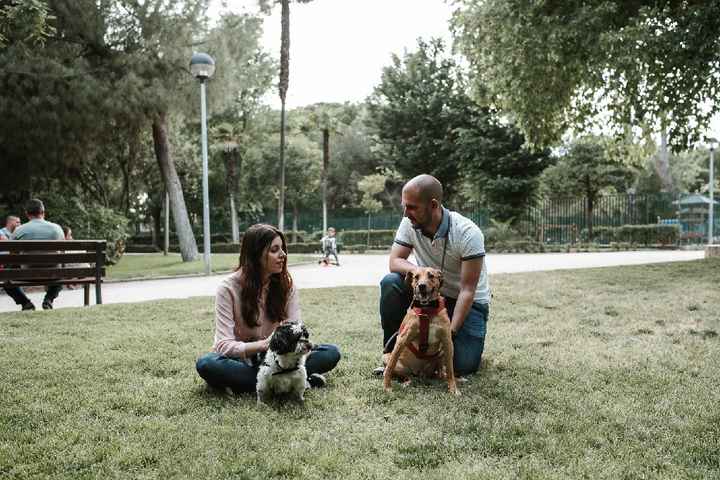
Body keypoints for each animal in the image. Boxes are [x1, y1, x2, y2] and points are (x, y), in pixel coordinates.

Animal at [386, 266, 458, 394]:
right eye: (416, 277)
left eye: (431, 276)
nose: (422, 286)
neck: (427, 310)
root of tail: (419, 373)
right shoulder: (402, 339)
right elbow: (390, 366)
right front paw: (387, 387)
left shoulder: (447, 341)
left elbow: (450, 369)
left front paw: (453, 389)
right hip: (387, 357)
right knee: (405, 374)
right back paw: (407, 382)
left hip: (441, 354)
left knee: (440, 373)